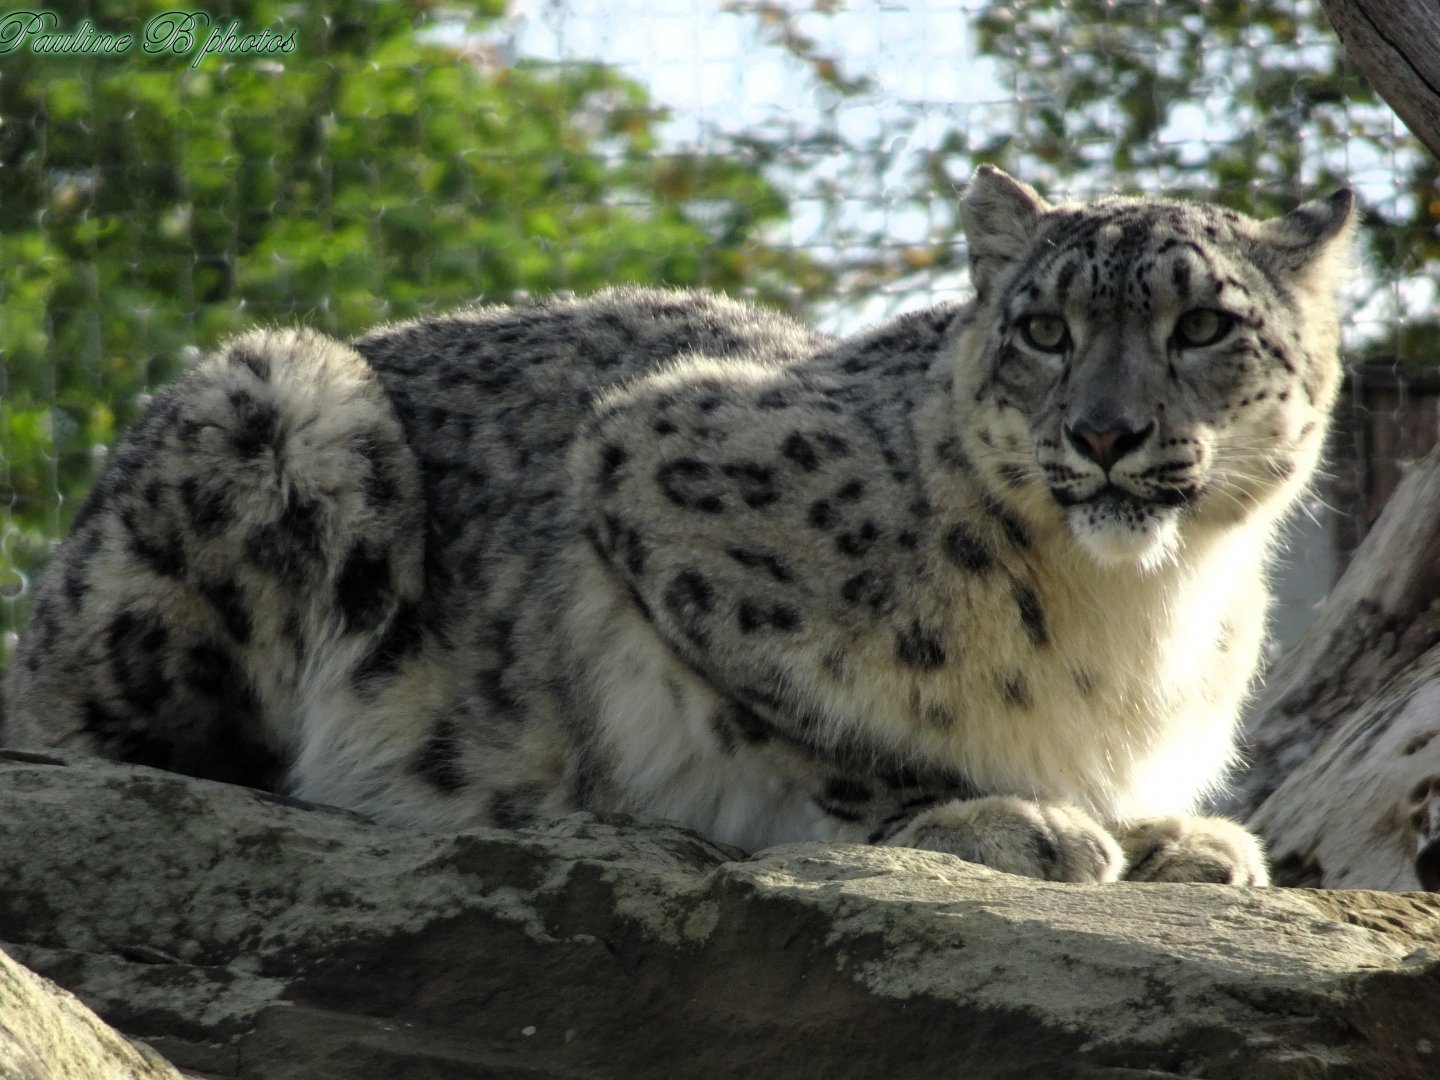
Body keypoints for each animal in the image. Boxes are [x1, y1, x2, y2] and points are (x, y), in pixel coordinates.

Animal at [2, 166, 1356, 884]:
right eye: (1044, 329)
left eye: (1204, 326)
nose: (1106, 434)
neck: (1135, 612)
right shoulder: (647, 474)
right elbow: (831, 734)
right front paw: (1012, 817)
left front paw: (1178, 834)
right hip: (274, 408)